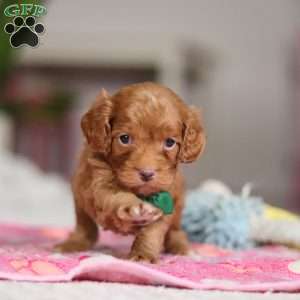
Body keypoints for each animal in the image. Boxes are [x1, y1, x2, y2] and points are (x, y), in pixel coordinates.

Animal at [55, 82, 206, 262]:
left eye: (169, 142)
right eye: (125, 138)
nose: (147, 173)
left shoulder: (167, 199)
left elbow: (152, 232)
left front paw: (143, 255)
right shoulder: (99, 183)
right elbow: (116, 196)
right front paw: (134, 207)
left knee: (175, 230)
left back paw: (183, 248)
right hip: (80, 198)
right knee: (85, 227)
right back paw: (73, 244)